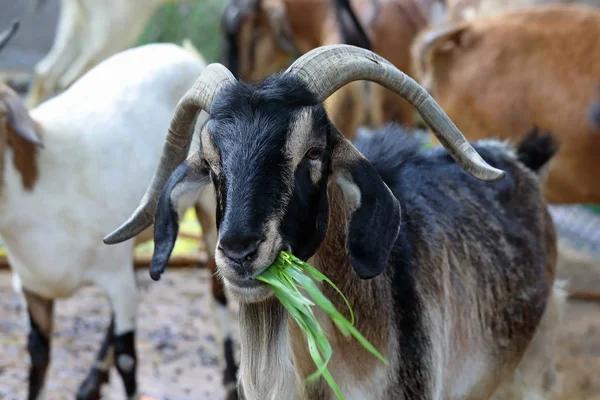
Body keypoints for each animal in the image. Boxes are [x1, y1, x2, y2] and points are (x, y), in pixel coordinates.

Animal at [0, 40, 239, 400]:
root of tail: (185, 54)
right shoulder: (31, 288)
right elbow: (38, 359)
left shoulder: (116, 279)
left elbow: (128, 358)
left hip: (209, 209)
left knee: (218, 296)